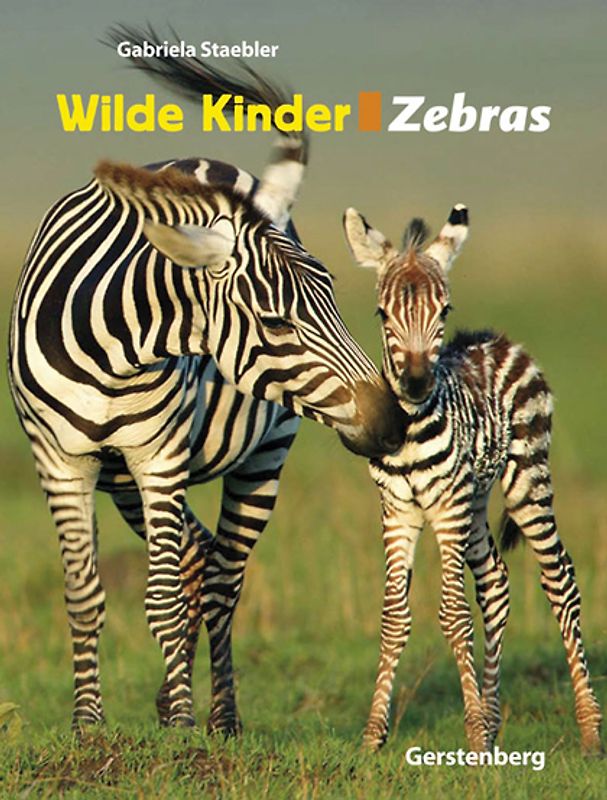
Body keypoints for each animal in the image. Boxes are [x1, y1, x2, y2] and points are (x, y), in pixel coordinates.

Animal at [8, 37, 405, 734]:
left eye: (335, 299)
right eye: (276, 322)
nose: (391, 421)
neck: (113, 349)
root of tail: (217, 169)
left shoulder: (160, 458)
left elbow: (163, 599)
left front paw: (184, 732)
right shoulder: (60, 461)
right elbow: (84, 595)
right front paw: (89, 728)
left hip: (262, 454)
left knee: (221, 577)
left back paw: (219, 719)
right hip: (120, 479)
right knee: (199, 559)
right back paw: (174, 703)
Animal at [342, 204, 603, 755]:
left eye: (443, 310)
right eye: (382, 314)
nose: (416, 382)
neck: (410, 429)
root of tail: (494, 337)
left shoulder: (446, 509)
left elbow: (454, 614)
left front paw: (473, 736)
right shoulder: (397, 511)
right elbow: (394, 616)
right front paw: (374, 736)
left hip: (526, 480)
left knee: (560, 579)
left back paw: (589, 728)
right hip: (478, 499)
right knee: (497, 584)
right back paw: (493, 719)